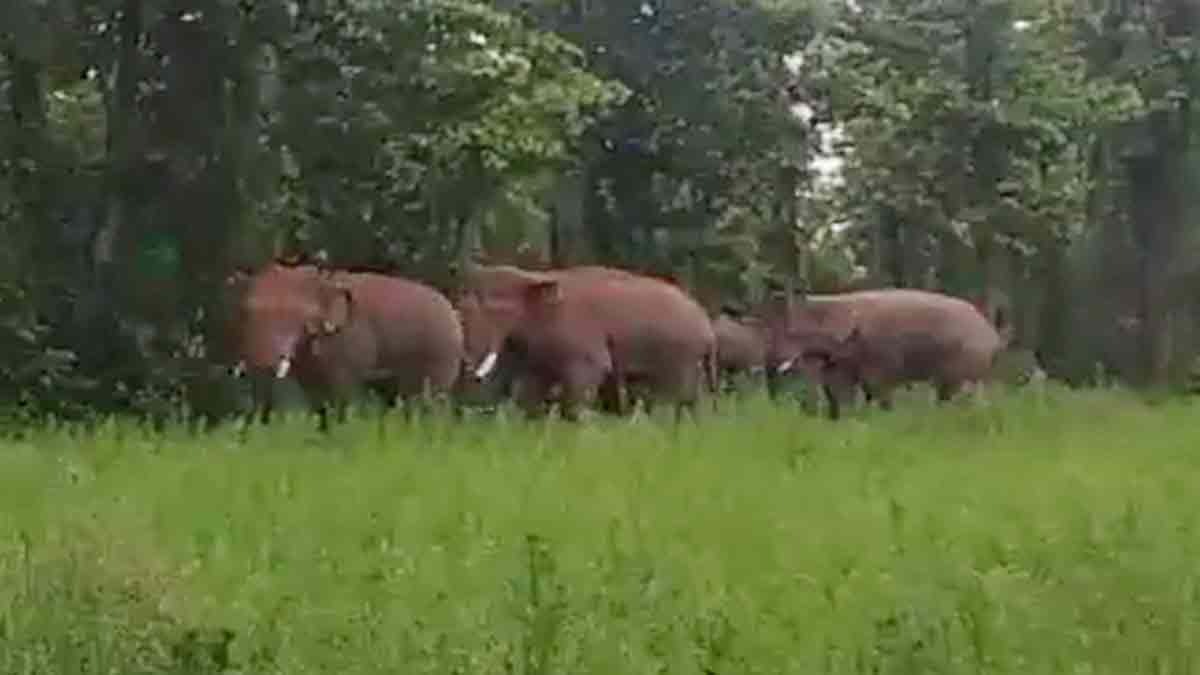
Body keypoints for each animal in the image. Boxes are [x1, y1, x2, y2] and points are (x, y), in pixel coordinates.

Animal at [224, 262, 463, 429]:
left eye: (298, 316)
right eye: (246, 310)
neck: (322, 280)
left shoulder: (348, 346)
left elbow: (342, 396)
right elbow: (318, 402)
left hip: (440, 354)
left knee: (426, 401)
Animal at [457, 264, 718, 422]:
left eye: (499, 309)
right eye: (461, 306)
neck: (536, 275)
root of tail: (706, 323)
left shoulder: (582, 343)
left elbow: (582, 387)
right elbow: (530, 395)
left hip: (681, 355)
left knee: (676, 400)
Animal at [760, 288, 1009, 419]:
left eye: (793, 332)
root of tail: (992, 334)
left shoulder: (877, 354)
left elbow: (874, 391)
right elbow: (840, 390)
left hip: (965, 358)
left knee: (956, 395)